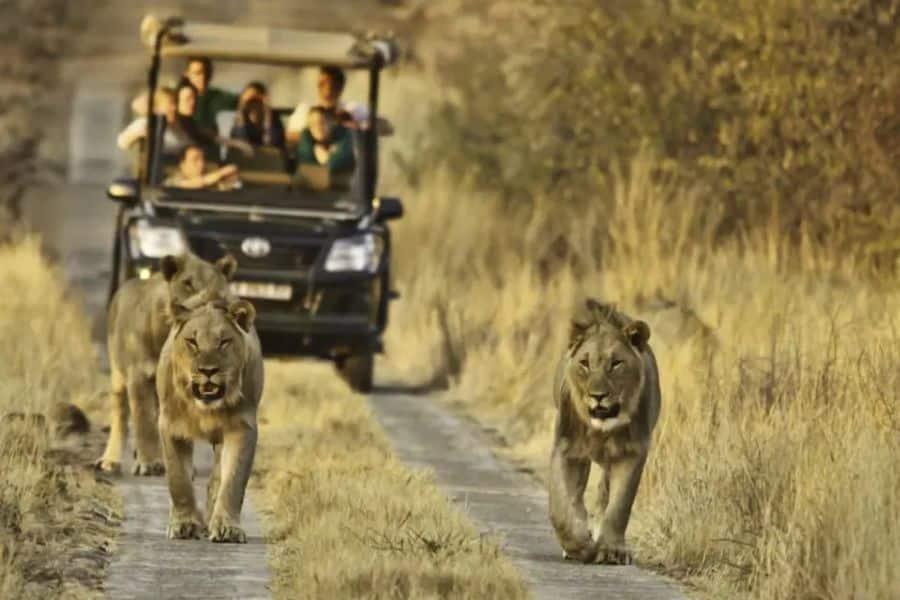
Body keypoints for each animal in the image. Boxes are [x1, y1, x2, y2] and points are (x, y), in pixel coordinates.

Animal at [94, 251, 236, 476]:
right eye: (188, 283)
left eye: (219, 284)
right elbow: (143, 421)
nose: (211, 301)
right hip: (118, 374)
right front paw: (149, 463)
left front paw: (181, 465)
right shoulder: (138, 377)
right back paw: (110, 461)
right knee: (121, 415)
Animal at [156, 300, 264, 544]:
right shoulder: (170, 426)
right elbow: (178, 480)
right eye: (192, 342)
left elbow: (233, 481)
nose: (208, 371)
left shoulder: (242, 428)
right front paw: (184, 525)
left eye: (224, 342)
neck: (205, 408)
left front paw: (227, 528)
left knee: (216, 478)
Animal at [544, 298, 664, 564]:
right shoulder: (566, 448)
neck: (602, 429)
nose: (597, 396)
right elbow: (561, 505)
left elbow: (619, 505)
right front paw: (578, 545)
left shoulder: (632, 453)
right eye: (585, 363)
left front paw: (611, 550)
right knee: (577, 496)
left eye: (616, 363)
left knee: (603, 494)